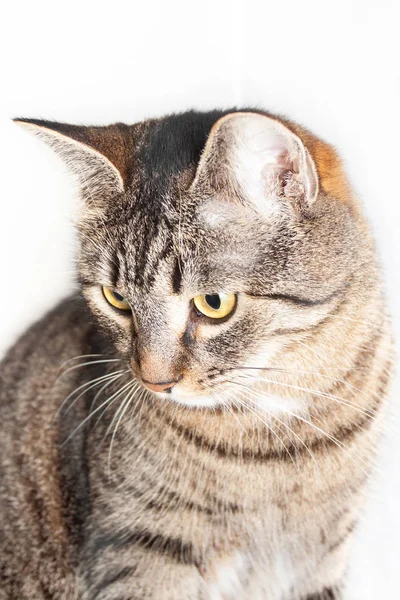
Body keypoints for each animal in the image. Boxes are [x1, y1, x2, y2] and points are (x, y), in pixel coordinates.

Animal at [0, 109, 394, 600]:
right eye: (116, 298)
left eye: (214, 302)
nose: (154, 381)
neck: (277, 443)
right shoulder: (142, 550)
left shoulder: (321, 551)